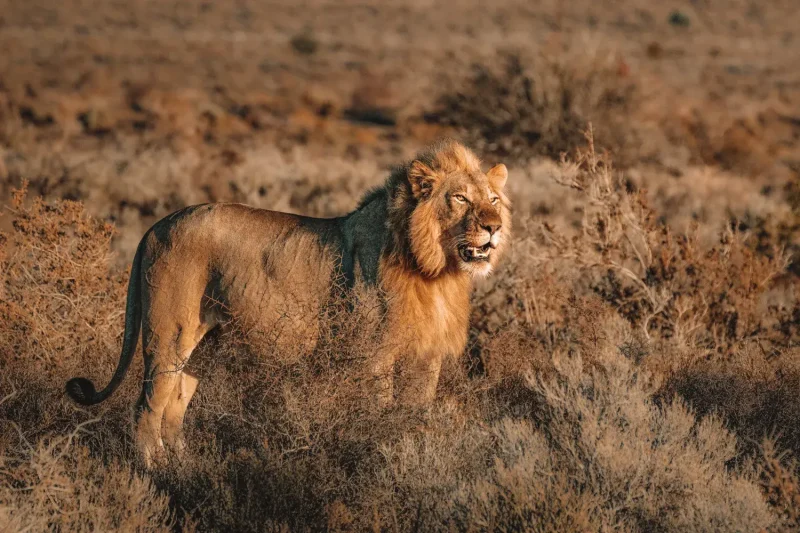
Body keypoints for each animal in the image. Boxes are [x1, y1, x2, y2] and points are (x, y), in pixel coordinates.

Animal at [65, 138, 510, 466]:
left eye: (493, 199)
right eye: (460, 199)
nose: (494, 227)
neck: (436, 272)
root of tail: (156, 226)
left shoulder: (426, 356)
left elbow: (415, 413)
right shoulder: (375, 355)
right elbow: (381, 412)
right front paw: (382, 455)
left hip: (204, 345)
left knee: (174, 410)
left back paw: (184, 469)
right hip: (168, 335)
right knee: (146, 408)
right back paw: (153, 473)